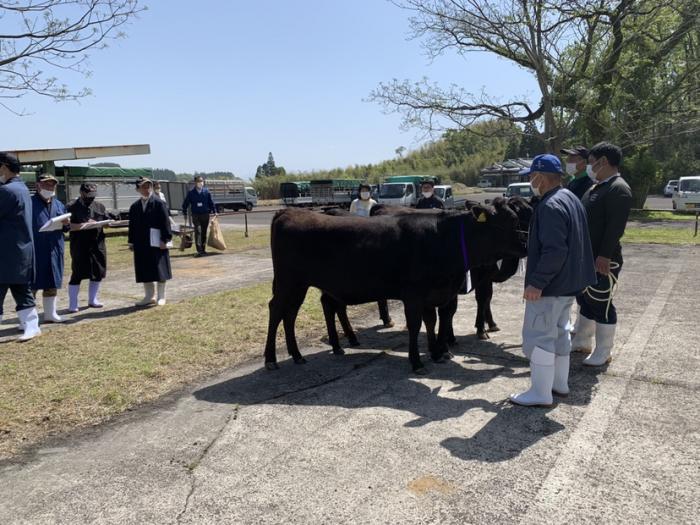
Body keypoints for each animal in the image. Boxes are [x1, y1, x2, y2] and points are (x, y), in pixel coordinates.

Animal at [266, 204, 528, 372]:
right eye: (511, 221)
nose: (526, 244)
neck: (443, 239)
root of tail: (287, 212)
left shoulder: (438, 292)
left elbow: (434, 321)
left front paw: (438, 353)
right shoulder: (414, 294)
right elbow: (416, 324)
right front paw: (417, 362)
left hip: (302, 285)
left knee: (295, 313)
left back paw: (302, 354)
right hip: (289, 281)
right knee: (277, 310)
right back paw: (271, 359)